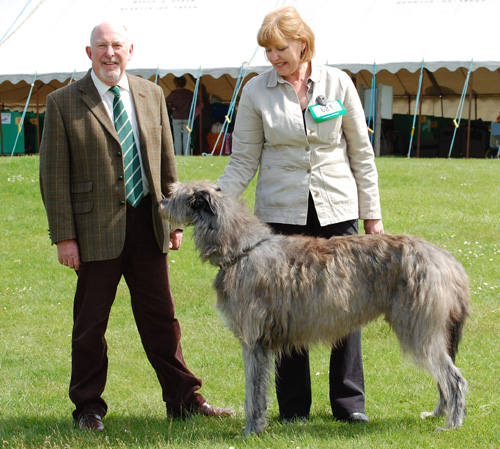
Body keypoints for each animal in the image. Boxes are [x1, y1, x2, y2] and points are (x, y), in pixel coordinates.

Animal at [159, 179, 468, 434]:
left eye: (176, 194)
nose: (160, 203)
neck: (242, 250)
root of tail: (446, 258)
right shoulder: (260, 343)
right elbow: (257, 389)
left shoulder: (254, 341)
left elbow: (253, 391)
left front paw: (251, 429)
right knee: (445, 376)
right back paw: (439, 413)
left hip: (418, 328)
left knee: (454, 378)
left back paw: (451, 424)